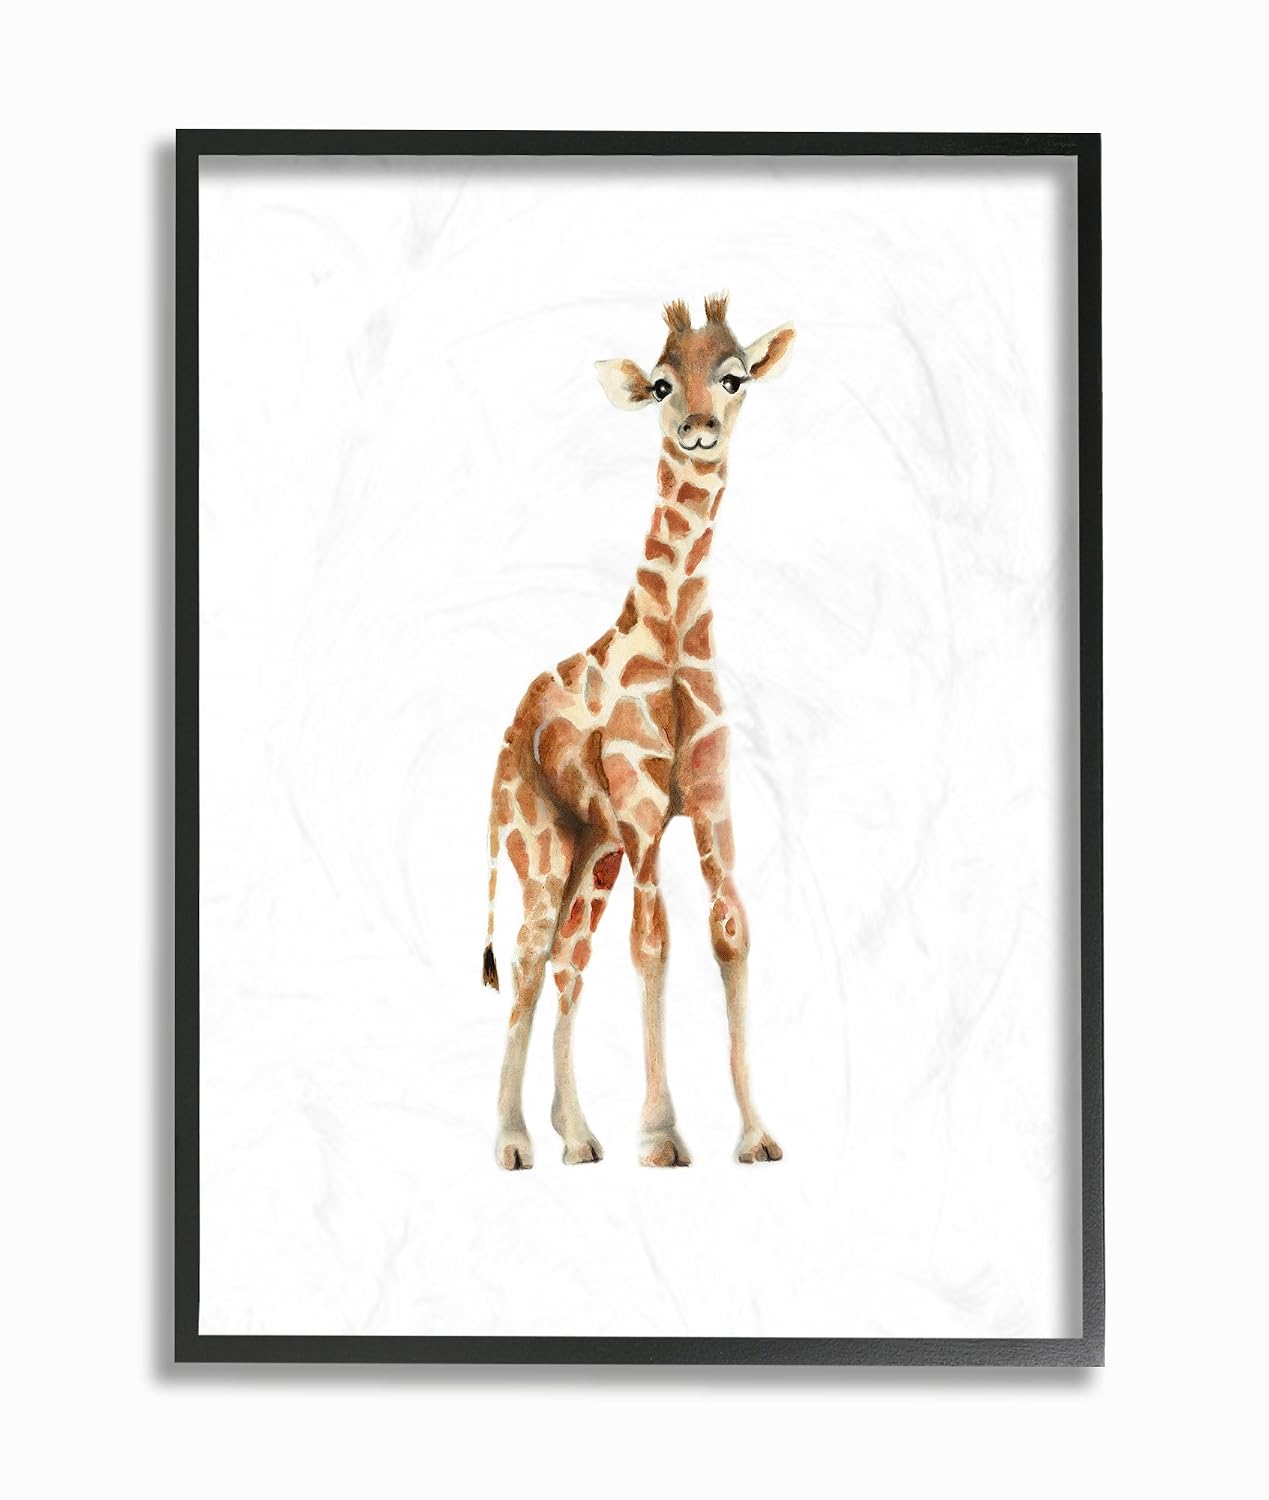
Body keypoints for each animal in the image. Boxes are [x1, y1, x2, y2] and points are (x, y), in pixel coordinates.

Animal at [482, 294, 795, 1170]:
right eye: (659, 383)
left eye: (733, 376)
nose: (698, 428)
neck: (674, 634)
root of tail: (508, 729)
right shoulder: (646, 812)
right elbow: (654, 944)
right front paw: (660, 1135)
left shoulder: (711, 808)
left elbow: (730, 934)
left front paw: (755, 1134)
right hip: (542, 845)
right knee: (525, 958)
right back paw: (513, 1141)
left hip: (593, 853)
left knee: (567, 961)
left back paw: (576, 1137)